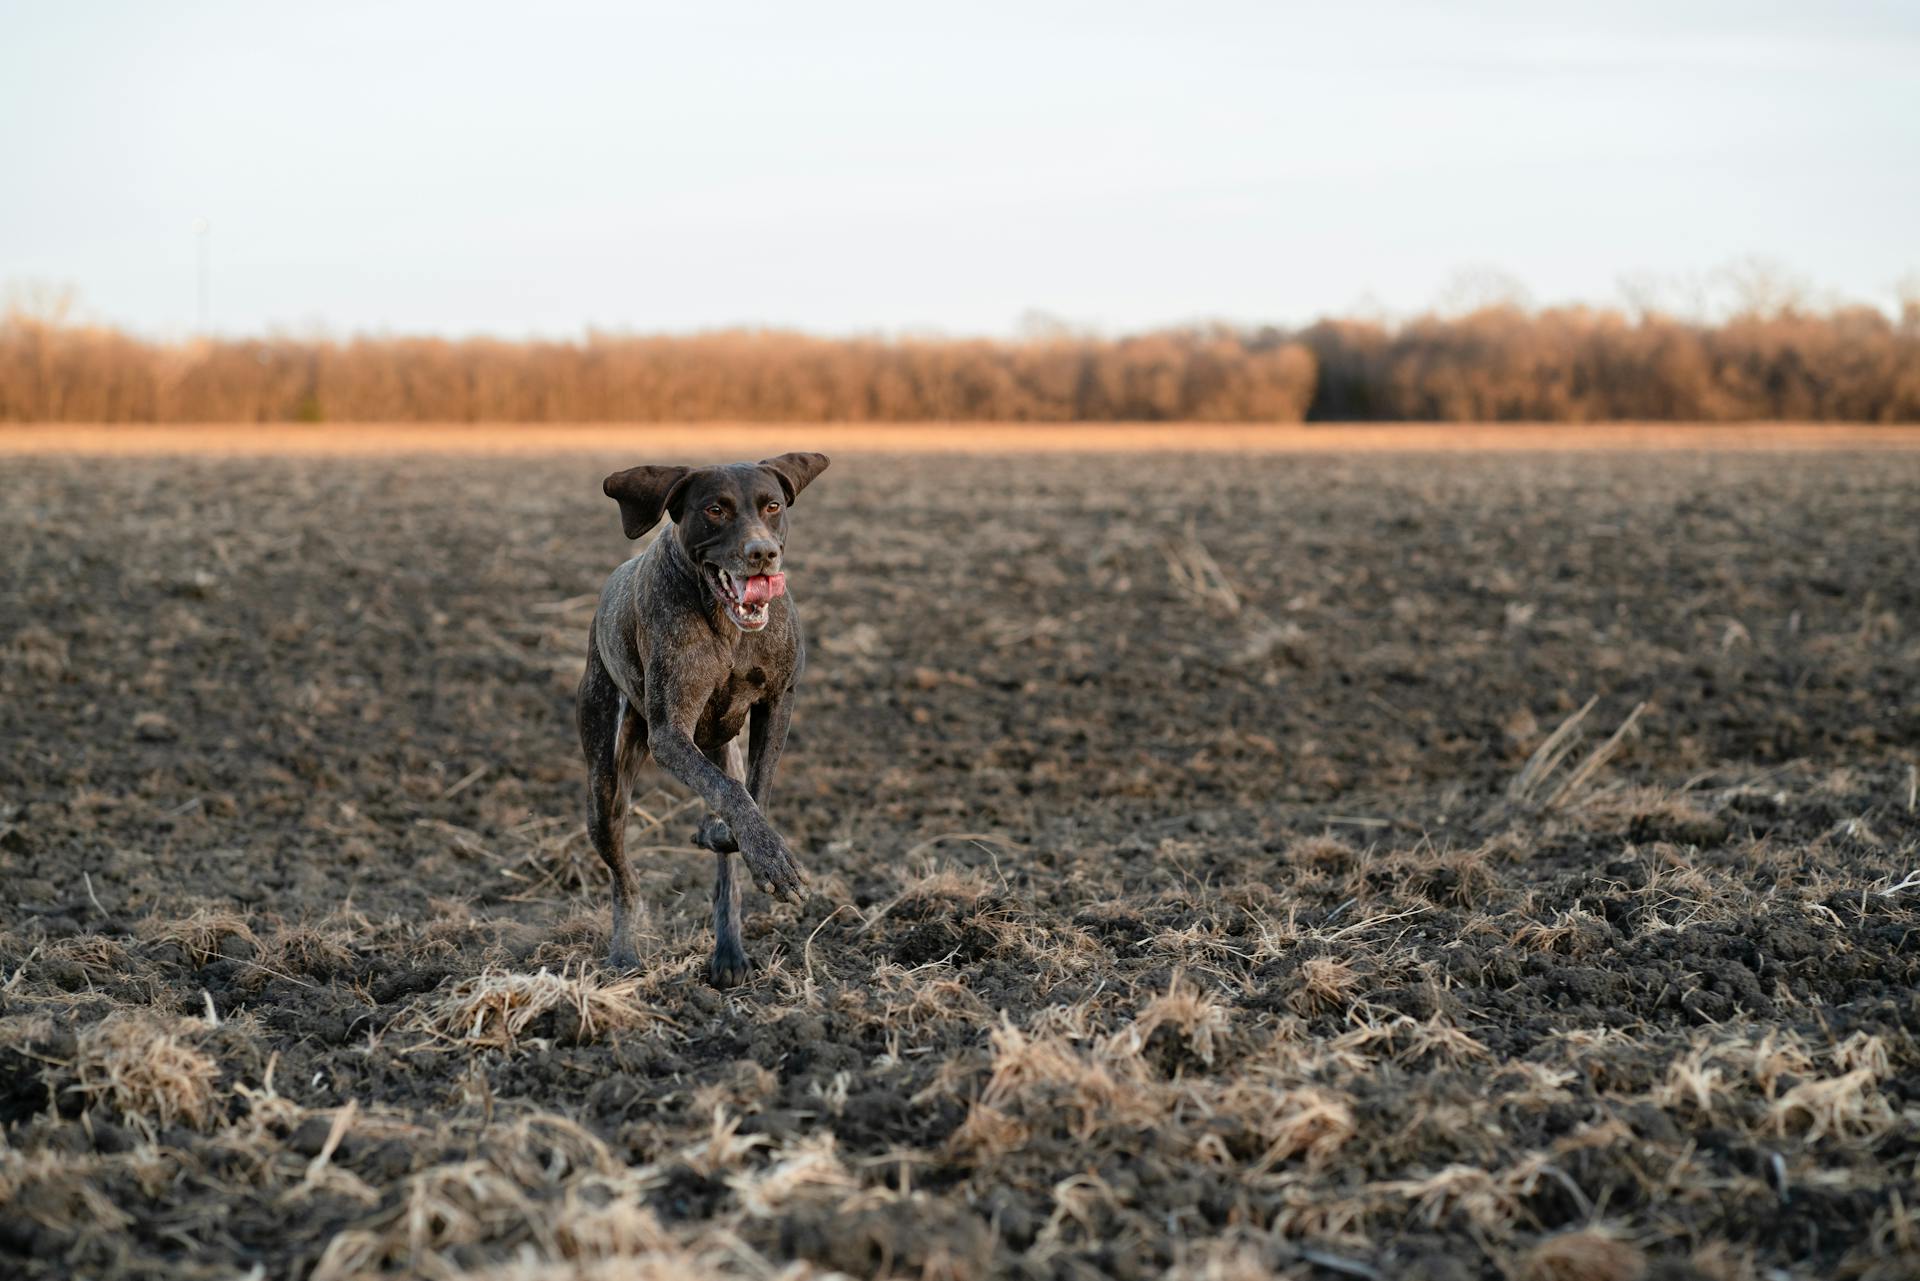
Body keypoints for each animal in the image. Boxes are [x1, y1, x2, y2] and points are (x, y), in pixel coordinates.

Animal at [576, 453, 833, 990]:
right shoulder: (669, 735)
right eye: (715, 509)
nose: (761, 554)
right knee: (625, 879)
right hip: (604, 787)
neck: (726, 626)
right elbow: (733, 795)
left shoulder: (779, 700)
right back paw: (625, 955)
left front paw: (738, 841)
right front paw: (764, 853)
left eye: (772, 506)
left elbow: (753, 793)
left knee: (725, 872)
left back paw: (729, 952)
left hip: (719, 747)